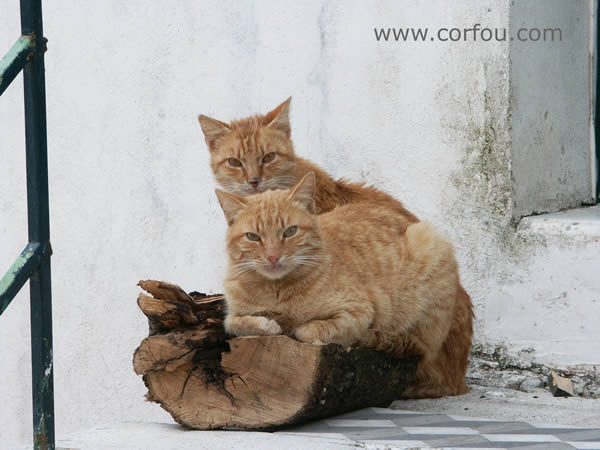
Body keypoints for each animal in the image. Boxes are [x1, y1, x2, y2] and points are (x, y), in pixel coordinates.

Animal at [218, 173, 466, 398]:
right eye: (253, 236)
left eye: (290, 231)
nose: (273, 256)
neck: (276, 289)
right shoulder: (234, 312)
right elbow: (234, 323)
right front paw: (266, 324)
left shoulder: (357, 313)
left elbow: (306, 329)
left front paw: (292, 328)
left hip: (432, 246)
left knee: (420, 348)